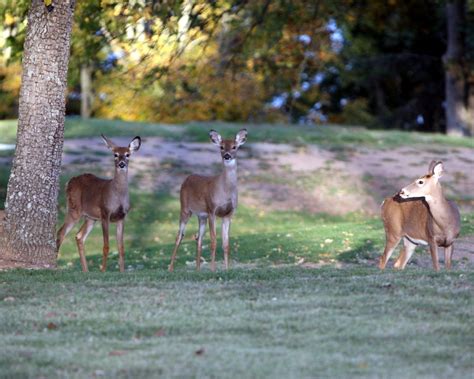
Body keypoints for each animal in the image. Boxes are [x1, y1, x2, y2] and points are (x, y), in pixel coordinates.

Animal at [55, 136, 141, 274]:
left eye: (128, 154)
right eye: (115, 154)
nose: (121, 164)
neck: (117, 196)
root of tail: (69, 182)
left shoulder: (122, 217)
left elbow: (121, 247)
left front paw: (122, 271)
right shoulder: (105, 213)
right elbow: (106, 246)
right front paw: (103, 271)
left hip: (91, 218)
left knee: (79, 236)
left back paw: (86, 270)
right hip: (74, 209)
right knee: (61, 232)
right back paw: (56, 266)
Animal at [168, 129, 248, 272]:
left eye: (234, 147)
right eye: (221, 147)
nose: (227, 155)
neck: (225, 191)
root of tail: (187, 178)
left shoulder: (229, 214)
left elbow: (226, 244)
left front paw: (227, 269)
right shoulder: (212, 210)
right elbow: (213, 241)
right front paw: (213, 269)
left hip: (201, 216)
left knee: (198, 238)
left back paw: (198, 270)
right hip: (185, 208)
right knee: (179, 236)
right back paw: (170, 268)